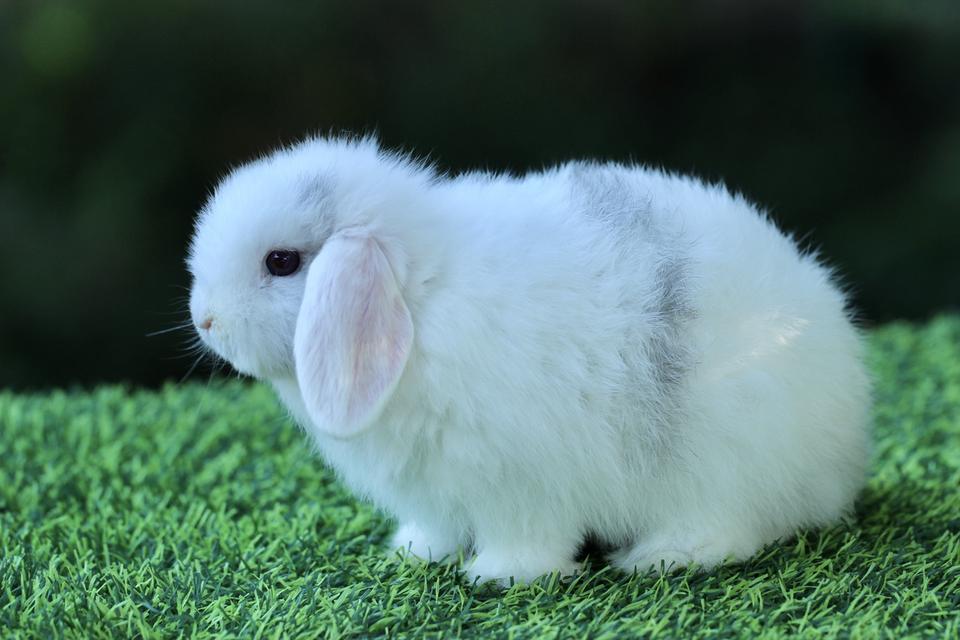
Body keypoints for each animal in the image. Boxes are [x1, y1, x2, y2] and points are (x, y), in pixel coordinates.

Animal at [186, 135, 872, 584]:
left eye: (282, 262)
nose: (206, 319)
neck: (422, 298)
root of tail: (843, 456)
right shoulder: (435, 493)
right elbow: (435, 529)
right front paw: (413, 553)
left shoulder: (520, 484)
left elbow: (527, 539)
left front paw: (498, 576)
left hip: (721, 466)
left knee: (730, 530)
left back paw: (660, 557)